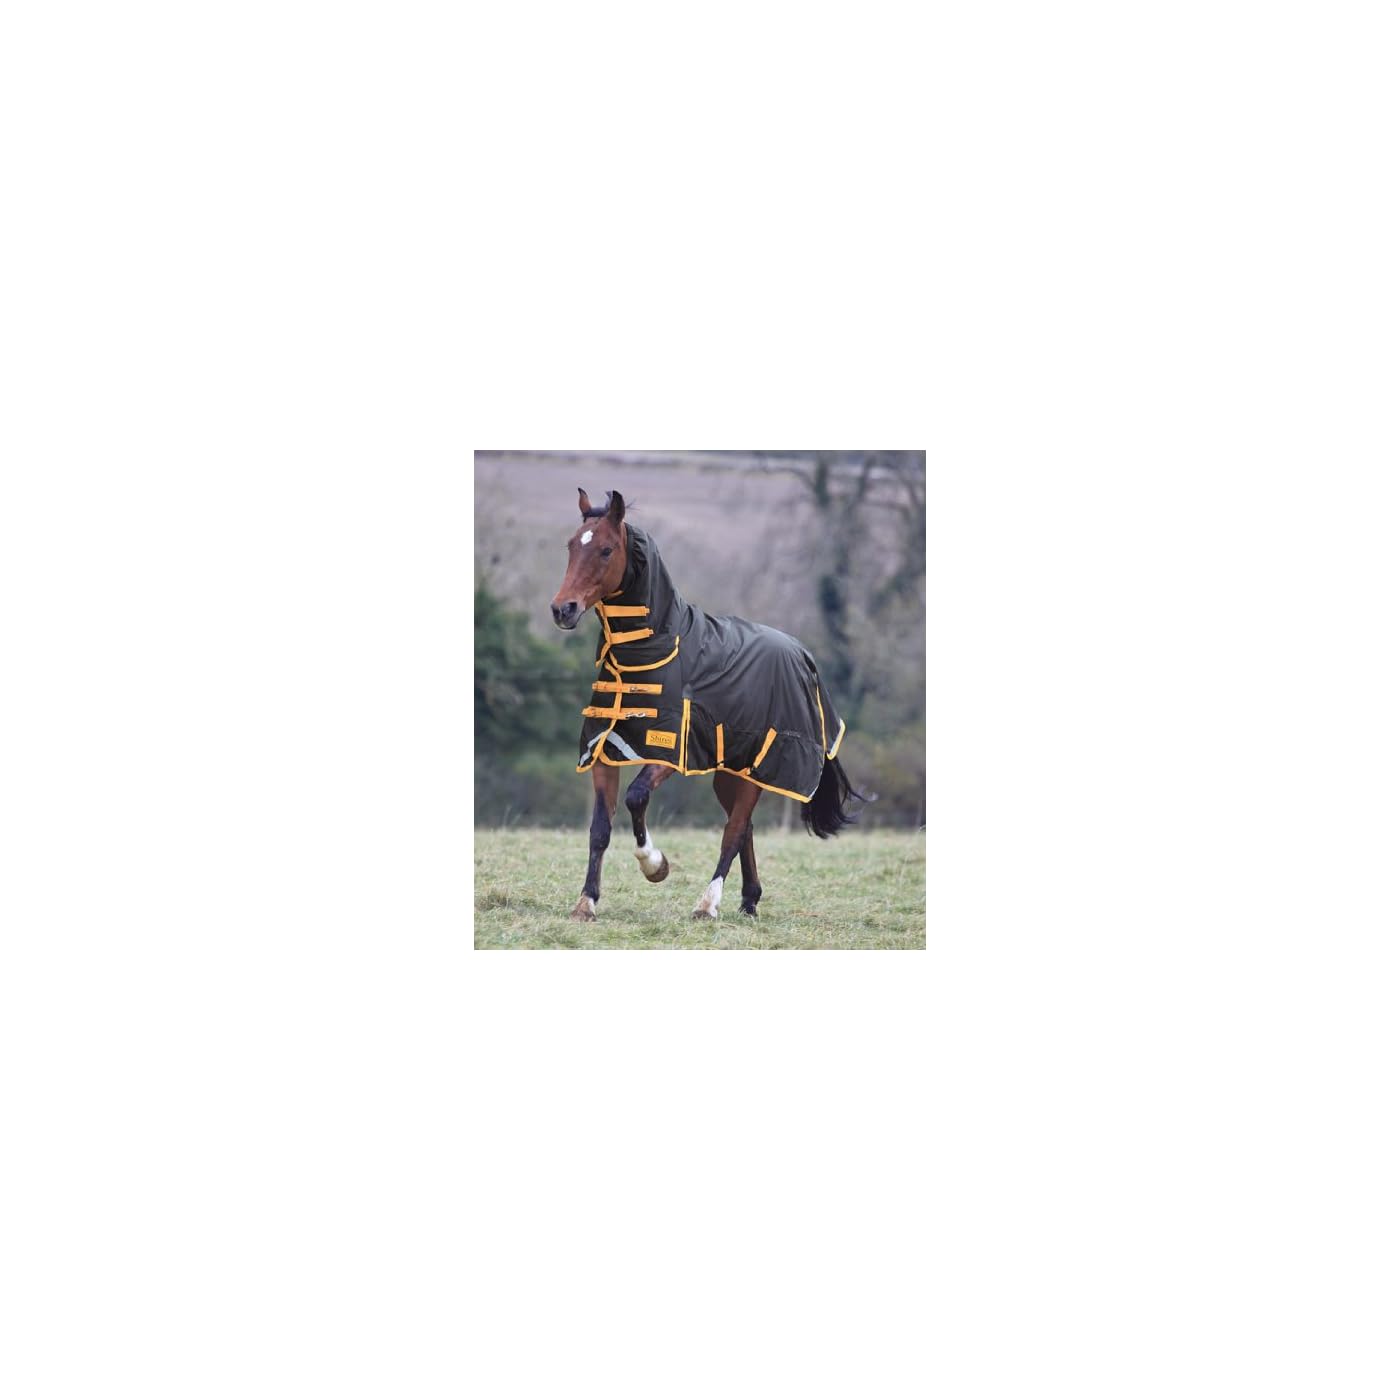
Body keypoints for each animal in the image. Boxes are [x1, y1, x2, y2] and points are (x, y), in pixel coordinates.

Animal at [550, 486, 863, 923]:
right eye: (570, 545)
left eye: (606, 550)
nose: (563, 609)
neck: (653, 650)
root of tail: (802, 654)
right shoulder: (603, 750)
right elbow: (599, 829)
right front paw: (586, 902)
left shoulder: (668, 751)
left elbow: (636, 798)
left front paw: (655, 866)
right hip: (730, 771)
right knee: (744, 827)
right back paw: (749, 901)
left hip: (759, 768)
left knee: (734, 830)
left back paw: (708, 903)